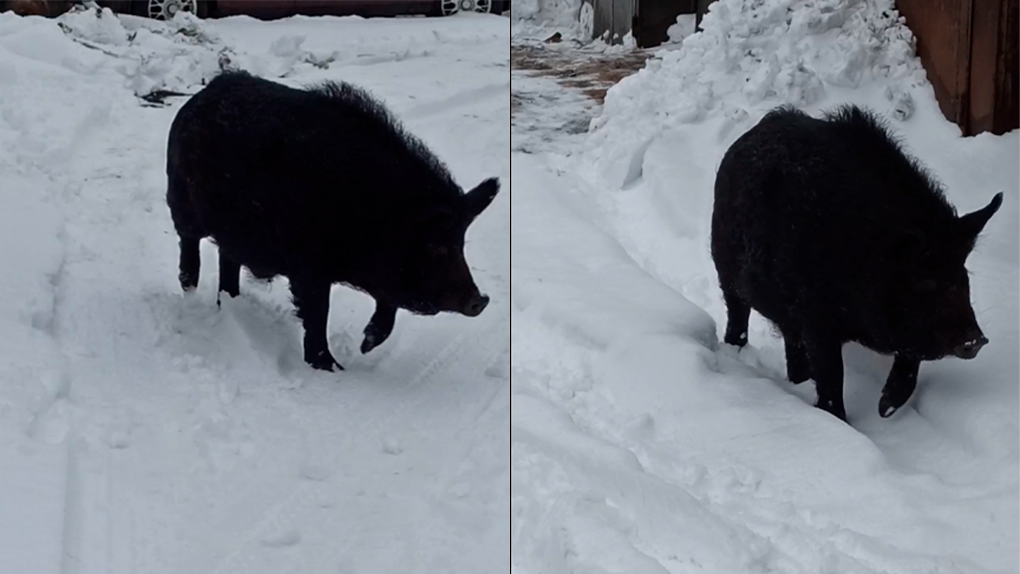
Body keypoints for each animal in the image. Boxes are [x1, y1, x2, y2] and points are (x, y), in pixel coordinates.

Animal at [167, 71, 501, 373]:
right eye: (435, 245)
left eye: (461, 243)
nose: (481, 300)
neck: (377, 214)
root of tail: (206, 92)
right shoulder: (308, 266)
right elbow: (318, 312)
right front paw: (331, 368)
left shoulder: (380, 275)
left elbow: (387, 308)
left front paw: (365, 346)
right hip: (181, 201)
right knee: (189, 248)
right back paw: (191, 293)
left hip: (234, 230)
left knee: (228, 259)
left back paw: (231, 302)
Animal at [714, 105, 999, 422]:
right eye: (924, 278)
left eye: (962, 273)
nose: (976, 340)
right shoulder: (816, 316)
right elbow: (832, 375)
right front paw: (838, 419)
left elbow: (910, 360)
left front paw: (885, 409)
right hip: (724, 265)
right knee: (738, 313)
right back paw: (737, 351)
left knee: (790, 339)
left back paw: (800, 380)